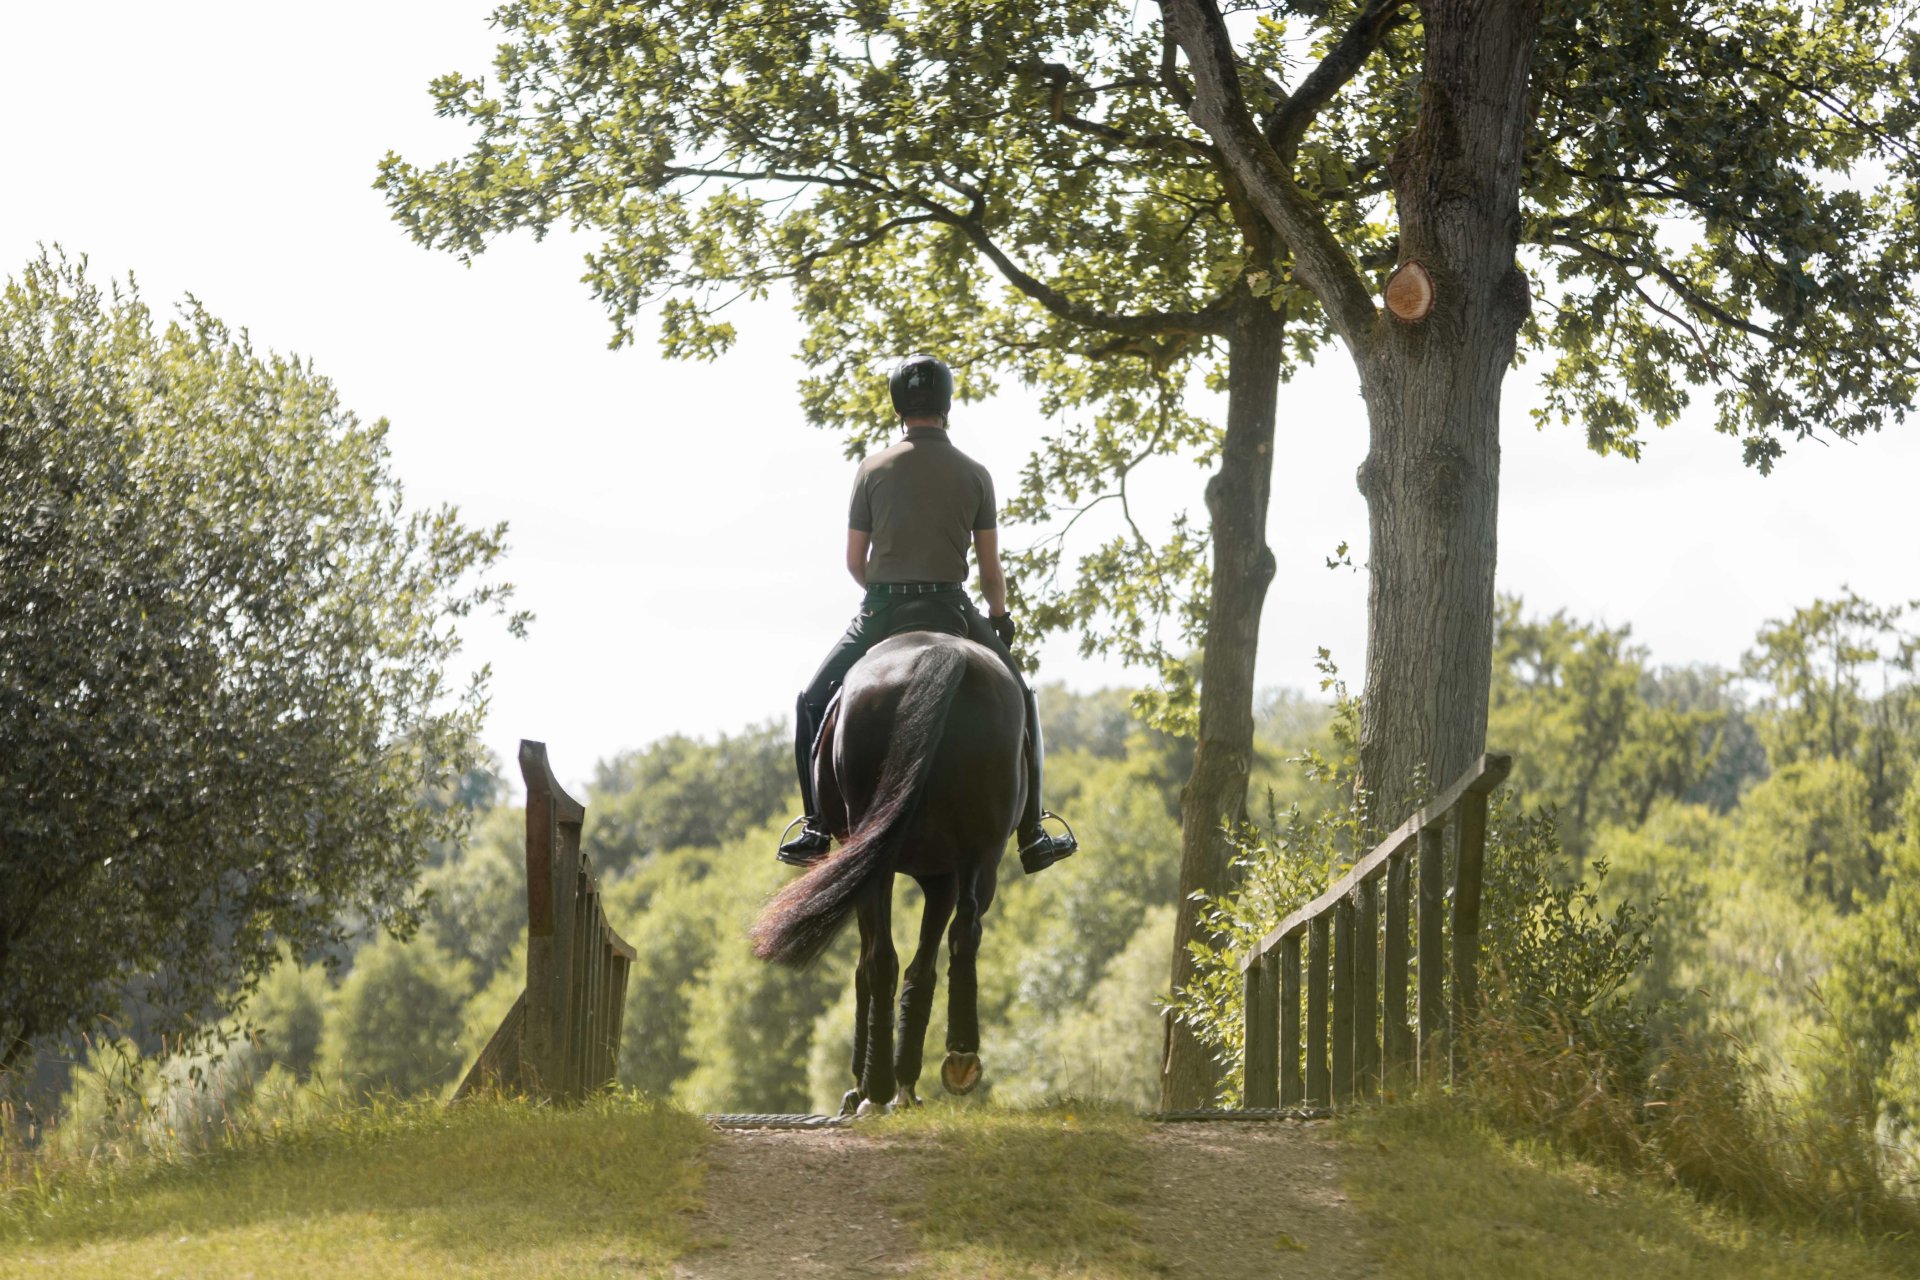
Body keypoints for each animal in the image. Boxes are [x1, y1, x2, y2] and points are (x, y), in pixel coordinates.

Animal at [748, 629, 1029, 1113]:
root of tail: (942, 652)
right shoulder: (943, 878)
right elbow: (922, 968)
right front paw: (906, 1084)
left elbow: (870, 966)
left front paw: (869, 1086)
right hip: (980, 854)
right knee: (962, 936)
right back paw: (959, 1056)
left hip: (879, 861)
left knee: (880, 960)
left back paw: (878, 1088)